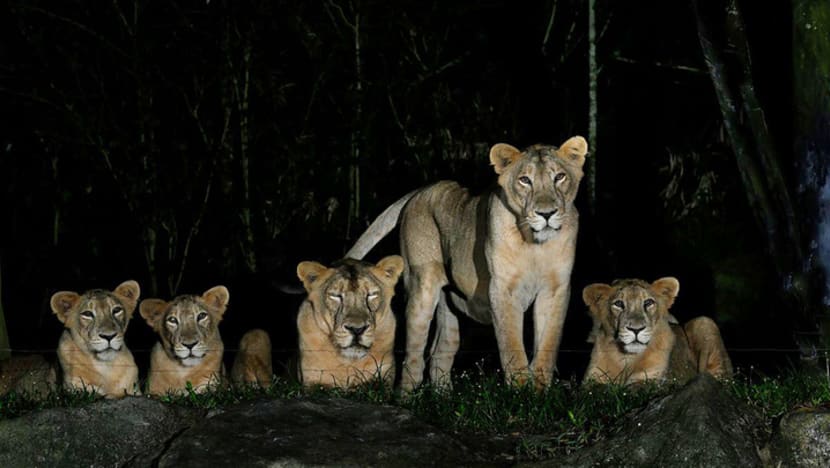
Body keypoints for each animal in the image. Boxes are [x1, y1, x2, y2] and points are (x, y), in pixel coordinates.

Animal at [296, 256, 404, 389]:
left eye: (371, 295)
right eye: (335, 296)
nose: (357, 330)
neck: (349, 363)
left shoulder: (383, 377)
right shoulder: (312, 380)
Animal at [346, 136, 588, 391]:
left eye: (559, 177)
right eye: (525, 180)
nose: (547, 213)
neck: (535, 246)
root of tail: (421, 190)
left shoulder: (555, 289)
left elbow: (548, 346)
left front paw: (540, 392)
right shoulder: (502, 289)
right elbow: (512, 346)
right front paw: (520, 392)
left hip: (449, 305)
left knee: (440, 352)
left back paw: (443, 397)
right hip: (421, 288)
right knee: (414, 357)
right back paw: (406, 395)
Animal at [581, 277, 733, 385]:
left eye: (648, 303)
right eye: (618, 304)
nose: (636, 329)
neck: (627, 359)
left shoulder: (652, 380)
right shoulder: (591, 380)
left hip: (704, 322)